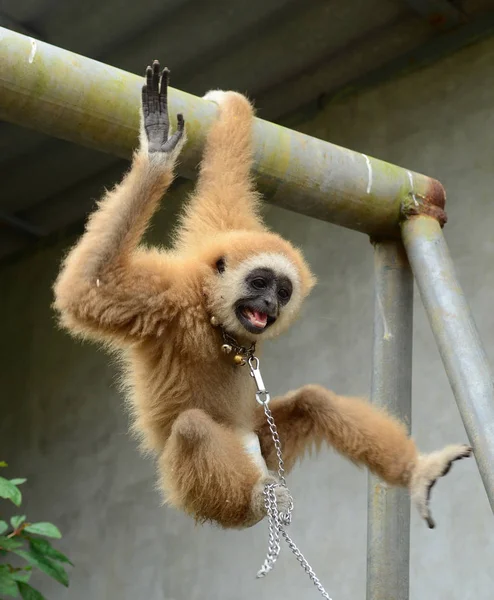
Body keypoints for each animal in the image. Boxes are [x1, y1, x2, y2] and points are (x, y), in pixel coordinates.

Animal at [53, 61, 470, 528]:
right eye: (259, 283)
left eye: (283, 291)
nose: (269, 303)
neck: (210, 315)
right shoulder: (164, 298)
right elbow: (87, 289)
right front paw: (157, 152)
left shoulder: (220, 233)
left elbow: (224, 181)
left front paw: (227, 106)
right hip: (187, 486)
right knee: (192, 428)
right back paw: (253, 502)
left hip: (264, 439)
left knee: (312, 402)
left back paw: (418, 473)